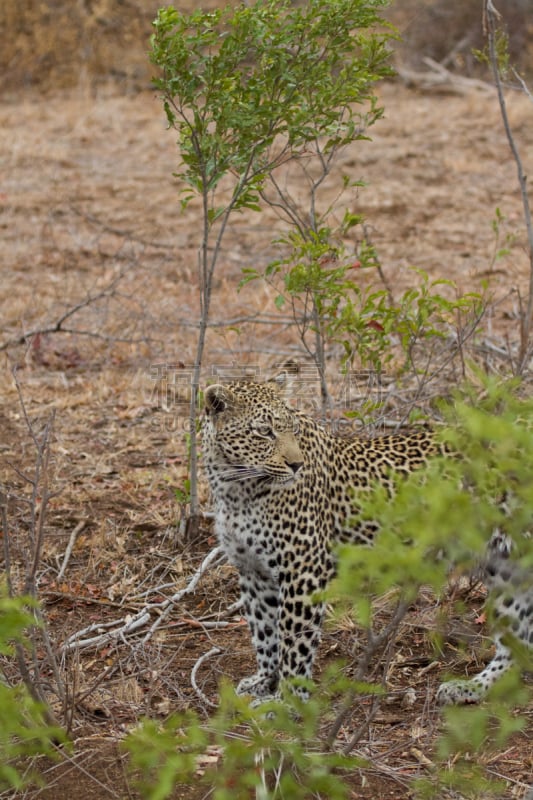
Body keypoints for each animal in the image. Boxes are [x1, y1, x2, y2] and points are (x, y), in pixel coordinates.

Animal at [202, 378, 528, 704]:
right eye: (264, 431)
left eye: (291, 430)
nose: (296, 465)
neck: (236, 488)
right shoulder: (253, 571)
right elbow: (264, 633)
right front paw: (264, 681)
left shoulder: (301, 572)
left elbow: (293, 645)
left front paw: (287, 701)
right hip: (507, 571)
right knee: (518, 644)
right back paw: (471, 687)